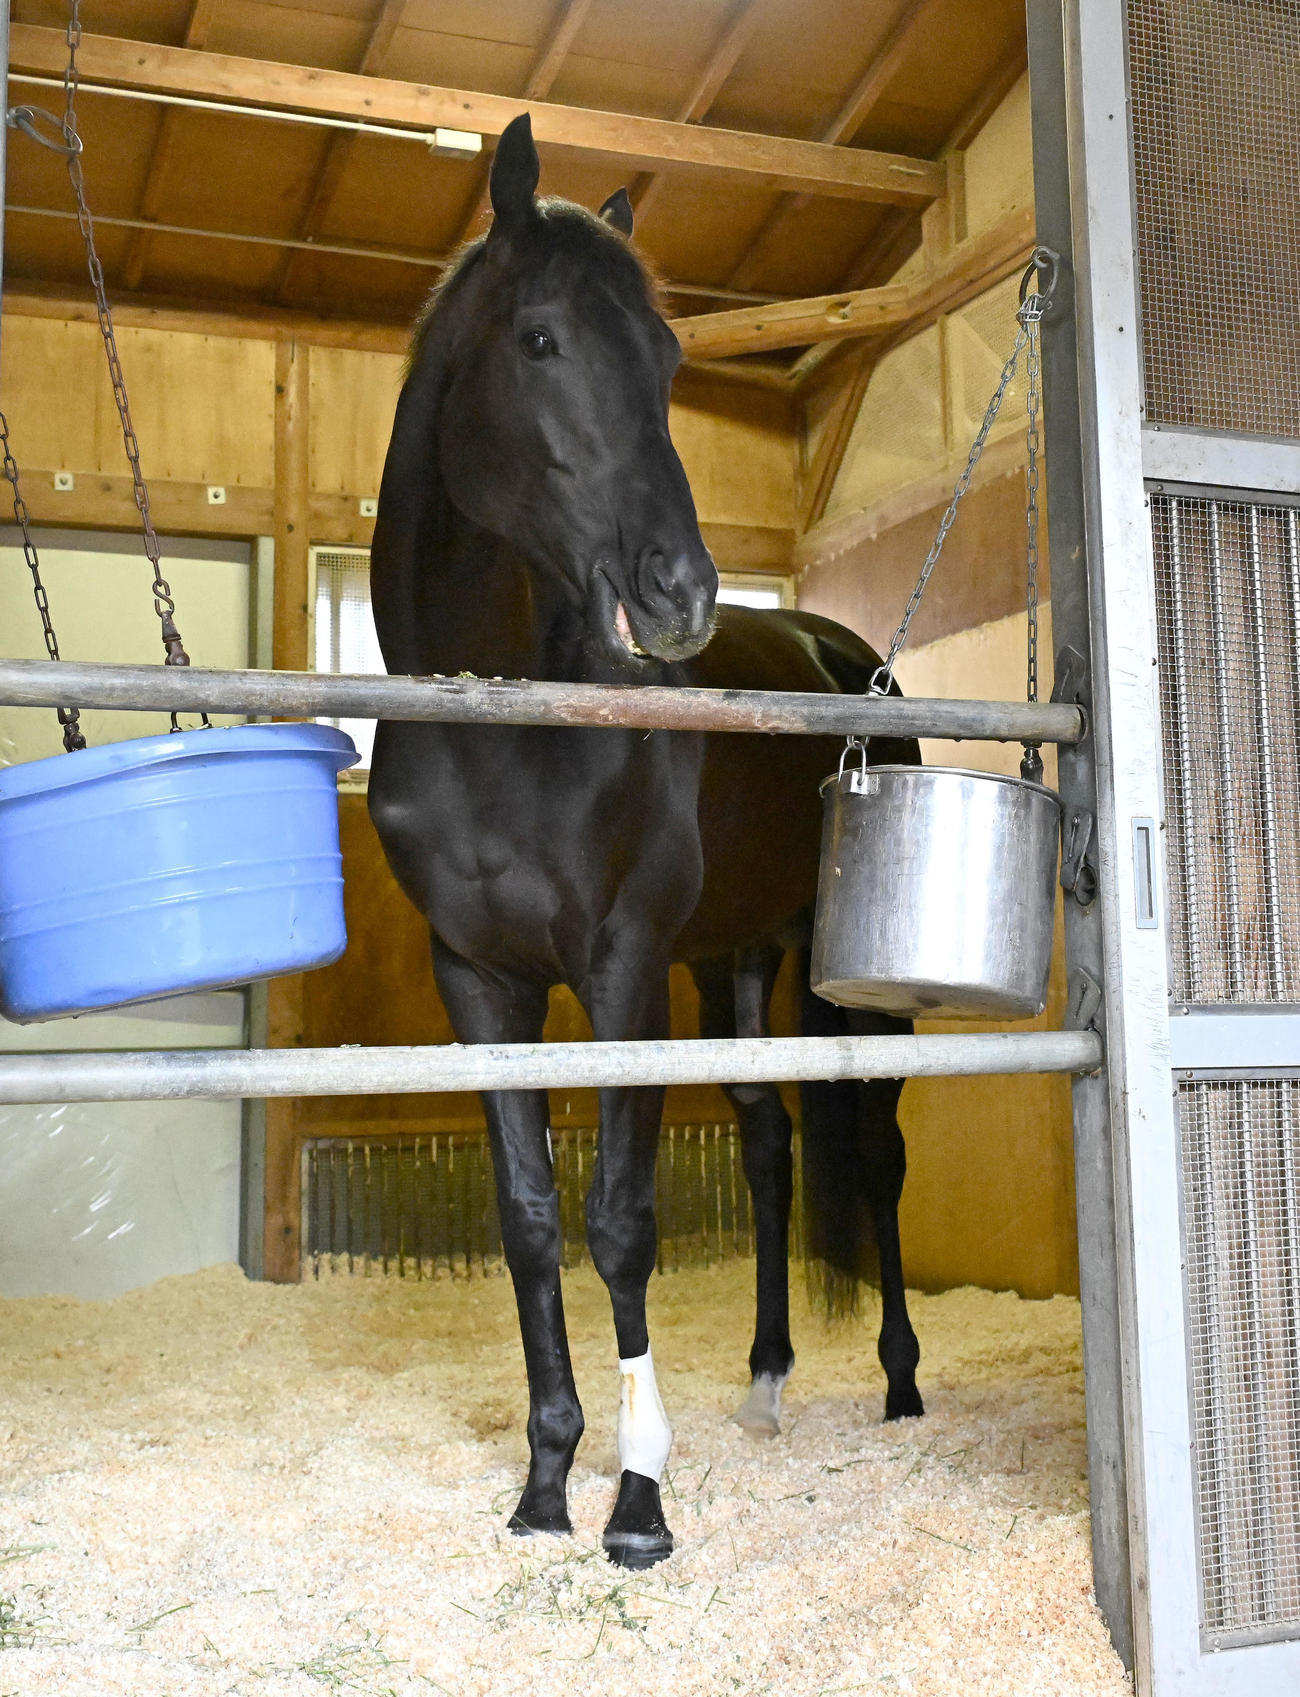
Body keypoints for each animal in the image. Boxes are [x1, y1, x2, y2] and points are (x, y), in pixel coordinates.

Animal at [368, 113, 924, 1571]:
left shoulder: (618, 969)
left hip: (853, 990)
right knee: (773, 1144)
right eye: (542, 340)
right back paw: (770, 1379)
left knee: (876, 1155)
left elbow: (621, 1221)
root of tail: (848, 655)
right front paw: (545, 1478)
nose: (678, 593)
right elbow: (529, 1220)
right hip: (734, 961)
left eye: (670, 361)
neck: (508, 721)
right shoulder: (481, 982)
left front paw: (637, 1499)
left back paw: (901, 1380)